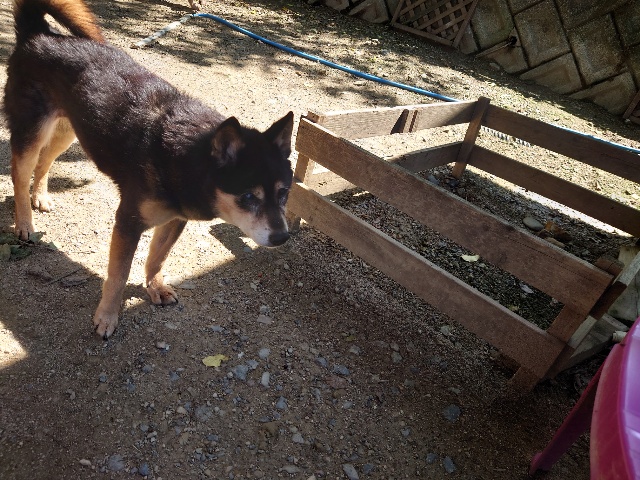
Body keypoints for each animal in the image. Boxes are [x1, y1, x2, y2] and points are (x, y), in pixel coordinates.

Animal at [5, 0, 294, 339]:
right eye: (248, 197)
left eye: (284, 193)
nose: (282, 238)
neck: (189, 157)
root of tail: (38, 33)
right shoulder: (128, 222)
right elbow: (119, 275)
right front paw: (107, 316)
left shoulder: (175, 219)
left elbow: (157, 257)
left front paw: (154, 287)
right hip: (32, 132)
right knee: (19, 175)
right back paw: (25, 221)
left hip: (68, 131)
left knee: (45, 161)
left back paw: (41, 196)